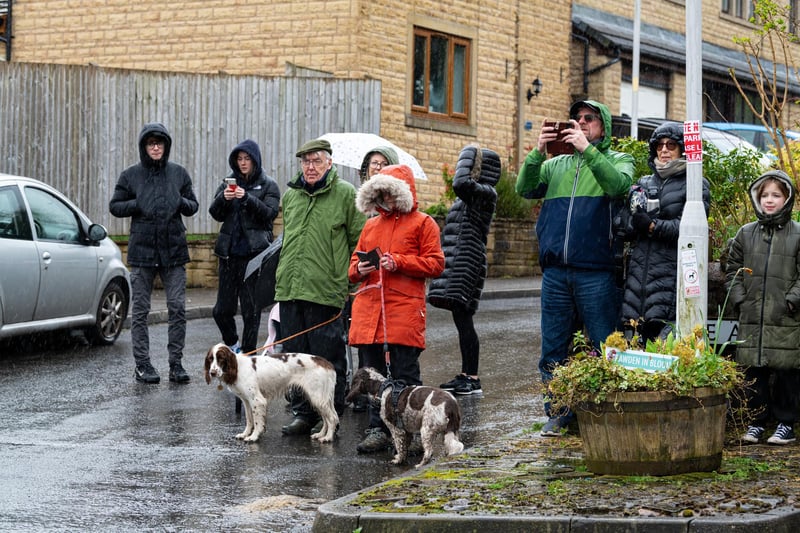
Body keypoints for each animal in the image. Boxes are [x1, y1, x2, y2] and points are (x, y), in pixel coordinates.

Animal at [203, 342, 338, 442]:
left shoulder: (257, 400)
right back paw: (320, 434)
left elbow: (257, 421)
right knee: (328, 418)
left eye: (221, 358)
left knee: (331, 418)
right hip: (319, 399)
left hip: (317, 397)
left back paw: (328, 437)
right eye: (210, 359)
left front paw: (253, 437)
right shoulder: (246, 401)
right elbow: (249, 419)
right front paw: (245, 434)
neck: (237, 368)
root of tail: (327, 363)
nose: (212, 373)